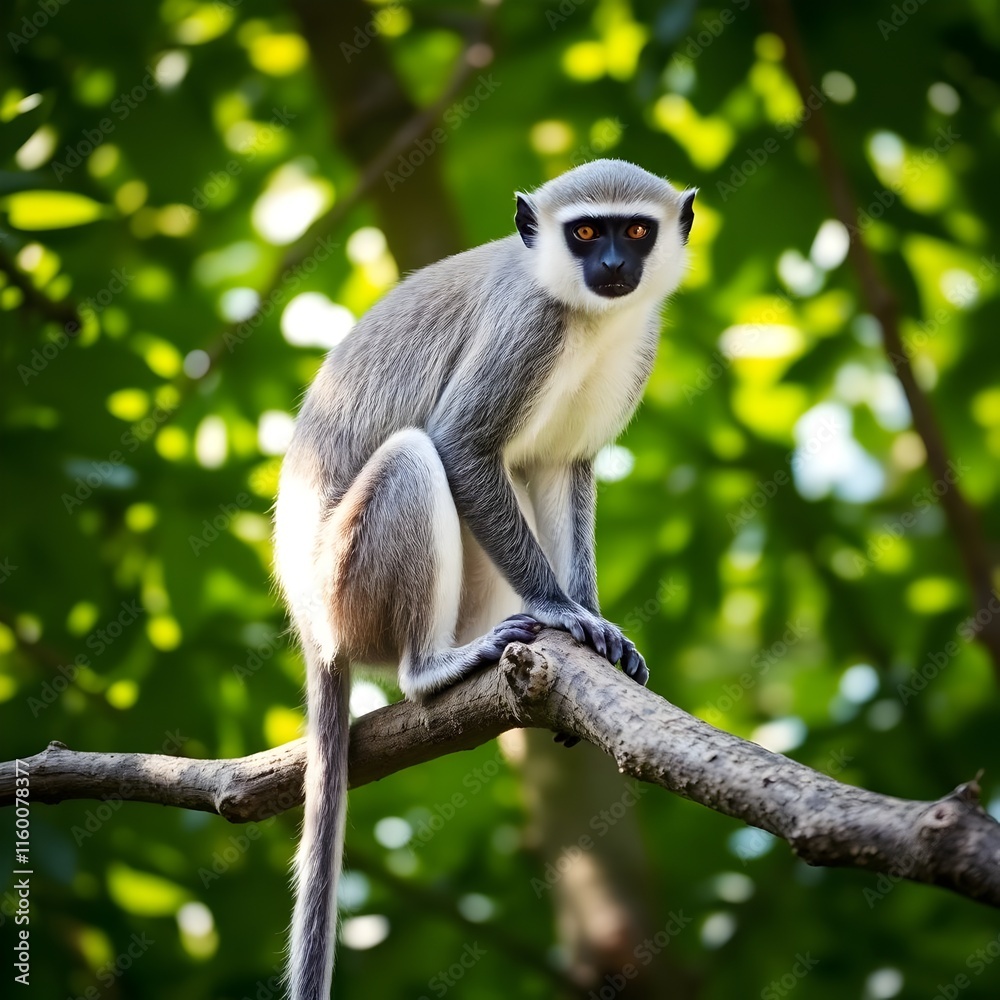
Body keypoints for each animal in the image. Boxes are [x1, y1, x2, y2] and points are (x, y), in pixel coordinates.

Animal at [272, 158, 695, 999]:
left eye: (635, 230)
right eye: (586, 231)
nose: (611, 267)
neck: (585, 317)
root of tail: (313, 630)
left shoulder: (636, 342)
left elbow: (562, 464)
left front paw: (596, 627)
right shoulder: (528, 329)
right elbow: (460, 445)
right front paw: (563, 612)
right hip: (348, 584)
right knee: (416, 454)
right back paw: (432, 668)